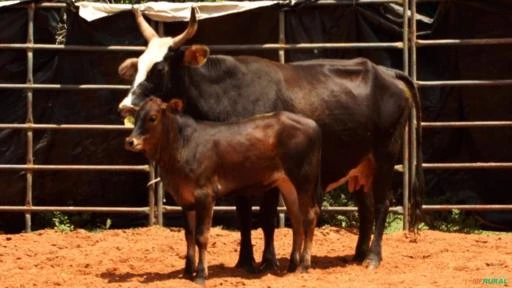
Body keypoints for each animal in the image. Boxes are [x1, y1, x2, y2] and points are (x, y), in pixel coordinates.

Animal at [125, 96, 322, 284]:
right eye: (136, 116)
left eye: (152, 117)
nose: (130, 141)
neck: (182, 146)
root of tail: (312, 124)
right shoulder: (186, 200)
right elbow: (189, 235)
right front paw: (187, 272)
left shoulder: (205, 195)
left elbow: (201, 236)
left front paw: (201, 275)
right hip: (287, 184)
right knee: (297, 220)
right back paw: (292, 266)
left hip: (304, 180)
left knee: (309, 217)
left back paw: (304, 265)